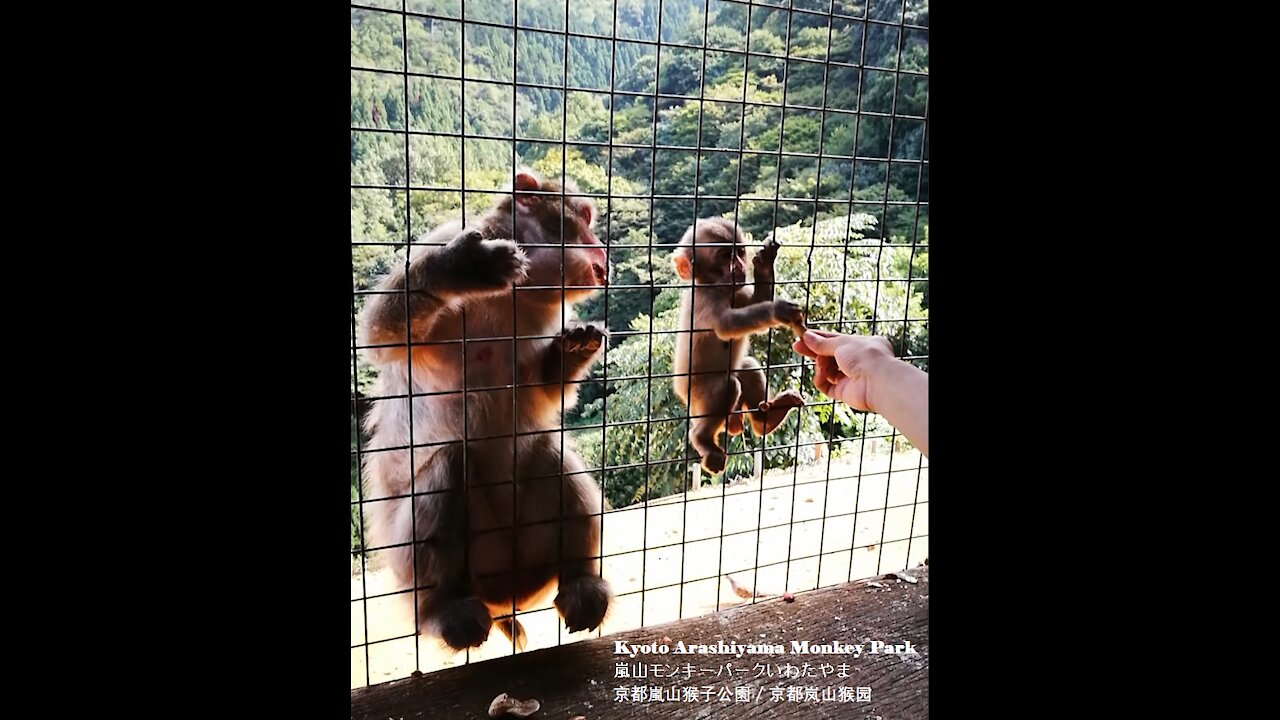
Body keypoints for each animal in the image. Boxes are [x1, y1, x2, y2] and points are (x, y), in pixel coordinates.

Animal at [358, 167, 611, 650]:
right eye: (586, 217)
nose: (603, 247)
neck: (517, 295)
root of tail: (502, 598)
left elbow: (544, 390)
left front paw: (575, 347)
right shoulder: (444, 236)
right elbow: (380, 334)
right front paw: (458, 269)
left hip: (526, 554)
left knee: (546, 451)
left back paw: (581, 583)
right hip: (413, 565)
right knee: (447, 465)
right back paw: (442, 609)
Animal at [675, 215, 803, 474]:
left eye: (739, 252)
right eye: (725, 256)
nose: (739, 266)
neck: (719, 288)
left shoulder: (739, 292)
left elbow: (756, 303)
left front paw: (764, 266)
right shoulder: (706, 300)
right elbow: (727, 325)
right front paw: (778, 310)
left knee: (747, 368)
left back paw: (767, 420)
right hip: (697, 395)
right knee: (728, 386)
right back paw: (703, 440)